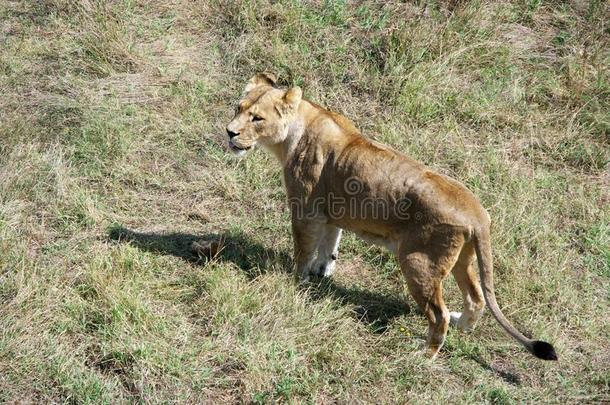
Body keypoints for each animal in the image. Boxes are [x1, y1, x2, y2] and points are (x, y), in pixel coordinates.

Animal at [224, 73, 556, 360]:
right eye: (238, 108)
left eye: (257, 118)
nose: (229, 132)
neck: (296, 130)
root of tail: (477, 212)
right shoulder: (331, 211)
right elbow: (329, 244)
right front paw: (323, 271)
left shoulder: (305, 210)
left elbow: (303, 250)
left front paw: (297, 281)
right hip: (462, 258)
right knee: (476, 298)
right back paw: (462, 325)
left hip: (418, 262)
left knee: (439, 315)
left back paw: (425, 355)